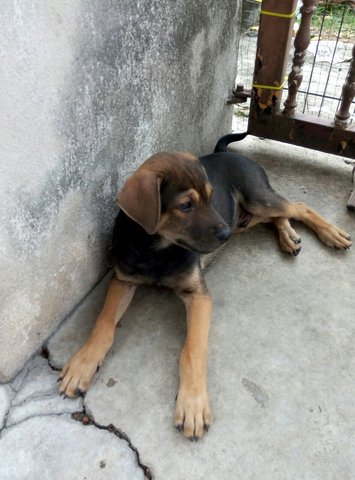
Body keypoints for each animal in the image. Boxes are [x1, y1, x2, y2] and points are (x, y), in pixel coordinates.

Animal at [59, 134, 354, 438]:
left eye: (211, 198)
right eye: (185, 206)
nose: (224, 234)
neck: (157, 250)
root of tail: (230, 153)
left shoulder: (198, 295)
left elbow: (193, 349)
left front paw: (193, 403)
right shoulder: (123, 280)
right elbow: (103, 323)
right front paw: (82, 363)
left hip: (256, 199)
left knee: (297, 206)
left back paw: (330, 233)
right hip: (246, 218)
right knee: (277, 217)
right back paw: (288, 237)